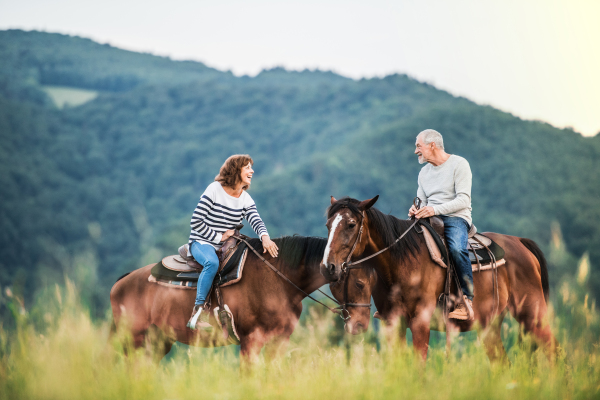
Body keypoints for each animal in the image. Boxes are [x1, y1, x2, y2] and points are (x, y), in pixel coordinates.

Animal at [110, 234, 342, 362]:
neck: (279, 278)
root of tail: (120, 283)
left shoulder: (279, 341)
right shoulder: (251, 340)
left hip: (157, 342)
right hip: (134, 341)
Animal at [322, 195, 556, 360]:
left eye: (351, 224)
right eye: (328, 225)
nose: (328, 266)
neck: (401, 262)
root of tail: (520, 242)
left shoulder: (420, 322)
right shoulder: (393, 324)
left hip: (533, 316)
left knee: (554, 352)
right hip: (490, 327)